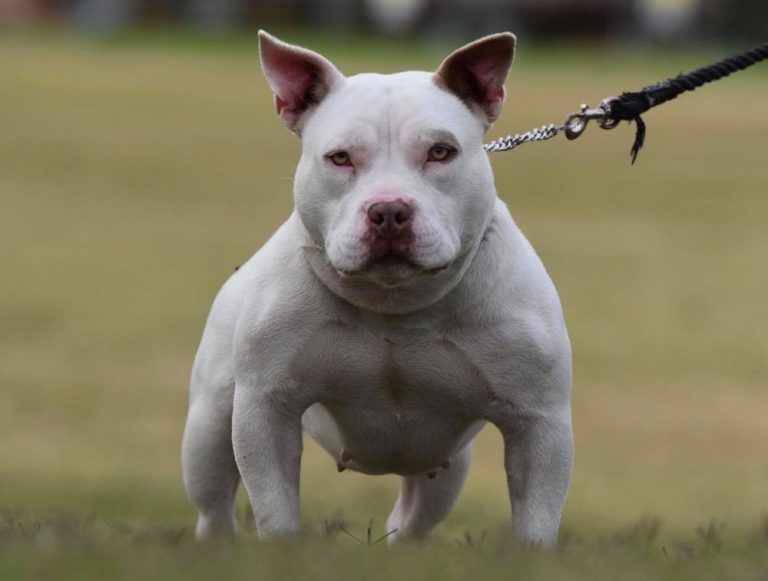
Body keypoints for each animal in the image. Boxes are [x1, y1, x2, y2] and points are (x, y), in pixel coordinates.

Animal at [183, 30, 572, 548]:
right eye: (340, 158)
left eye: (441, 152)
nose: (388, 210)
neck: (394, 302)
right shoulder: (266, 410)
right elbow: (276, 509)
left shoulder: (539, 425)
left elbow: (535, 523)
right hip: (208, 428)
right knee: (213, 508)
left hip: (444, 475)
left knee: (411, 520)